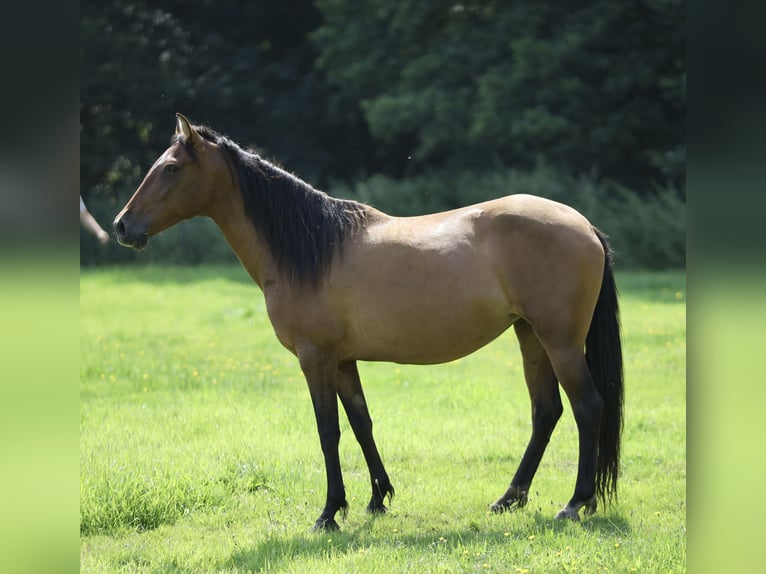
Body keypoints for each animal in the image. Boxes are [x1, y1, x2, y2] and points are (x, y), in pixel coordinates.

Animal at [114, 114, 624, 531]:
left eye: (171, 169)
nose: (121, 225)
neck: (312, 247)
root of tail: (585, 226)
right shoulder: (342, 361)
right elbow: (361, 422)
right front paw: (378, 499)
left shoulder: (315, 360)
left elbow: (328, 432)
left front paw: (328, 513)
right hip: (530, 336)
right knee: (546, 411)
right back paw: (509, 498)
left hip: (560, 342)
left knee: (587, 407)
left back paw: (575, 504)